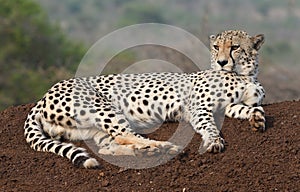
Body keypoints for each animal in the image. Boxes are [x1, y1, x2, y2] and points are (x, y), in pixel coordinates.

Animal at [24, 29, 264, 168]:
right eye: (216, 47)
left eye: (235, 47)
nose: (222, 62)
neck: (243, 73)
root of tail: (43, 96)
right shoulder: (199, 107)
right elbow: (210, 126)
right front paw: (214, 141)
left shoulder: (229, 106)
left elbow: (251, 107)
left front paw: (257, 119)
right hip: (102, 107)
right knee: (124, 134)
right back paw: (165, 147)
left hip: (90, 128)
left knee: (109, 146)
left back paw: (149, 150)